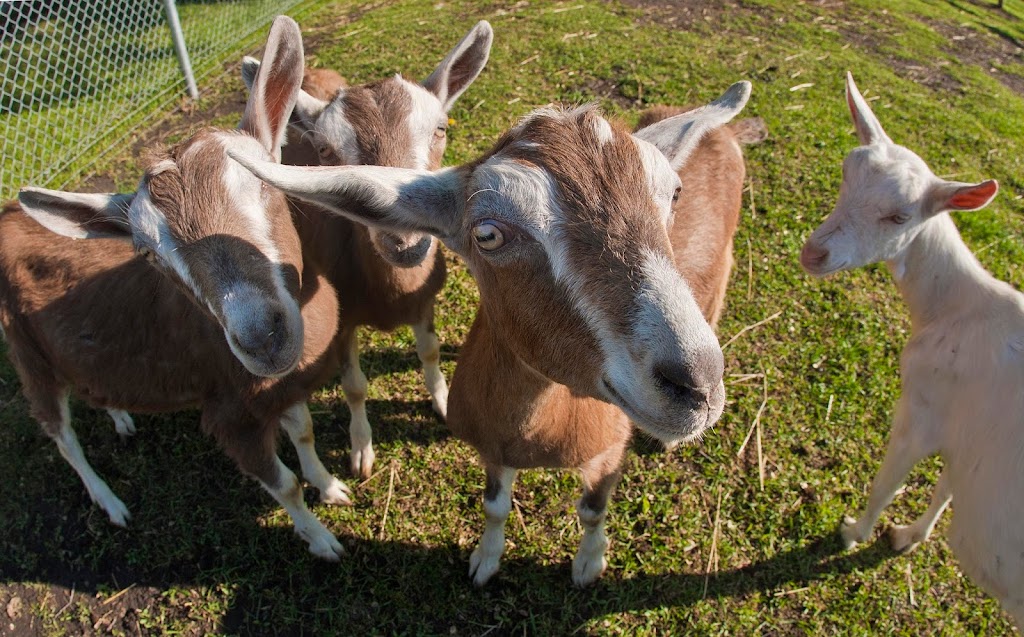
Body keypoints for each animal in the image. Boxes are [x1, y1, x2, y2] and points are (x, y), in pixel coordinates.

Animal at [802, 72, 1019, 626]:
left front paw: (854, 532)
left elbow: (889, 480)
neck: (959, 306)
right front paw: (907, 537)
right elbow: (948, 483)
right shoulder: (968, 432)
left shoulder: (924, 406)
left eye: (899, 216)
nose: (813, 253)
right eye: (844, 175)